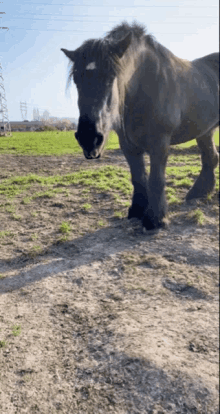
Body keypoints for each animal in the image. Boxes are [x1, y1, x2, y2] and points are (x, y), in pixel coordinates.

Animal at [61, 22, 219, 231]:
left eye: (111, 77)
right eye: (77, 79)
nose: (89, 139)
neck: (145, 86)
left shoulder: (160, 143)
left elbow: (156, 179)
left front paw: (155, 219)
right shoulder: (128, 144)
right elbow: (137, 177)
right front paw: (137, 210)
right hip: (205, 131)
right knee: (210, 158)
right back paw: (199, 193)